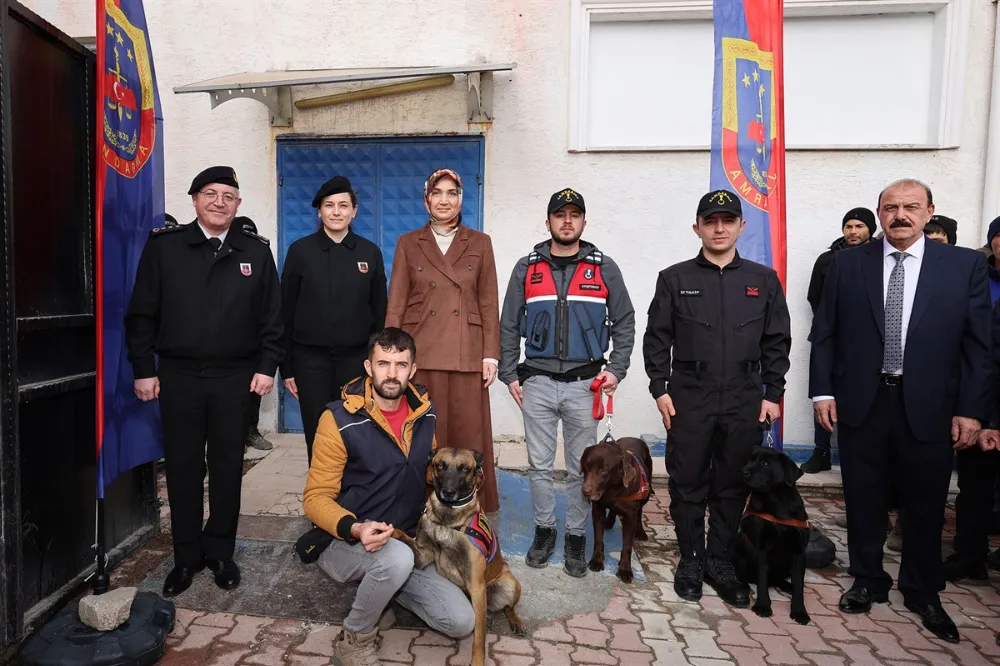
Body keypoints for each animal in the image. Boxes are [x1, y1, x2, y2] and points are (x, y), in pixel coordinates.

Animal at [736, 446, 812, 624]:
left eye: (765, 463)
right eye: (749, 460)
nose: (743, 471)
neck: (777, 501)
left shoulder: (799, 553)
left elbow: (799, 586)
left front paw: (800, 611)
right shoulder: (762, 550)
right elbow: (762, 580)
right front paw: (763, 606)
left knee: (781, 580)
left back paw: (788, 586)